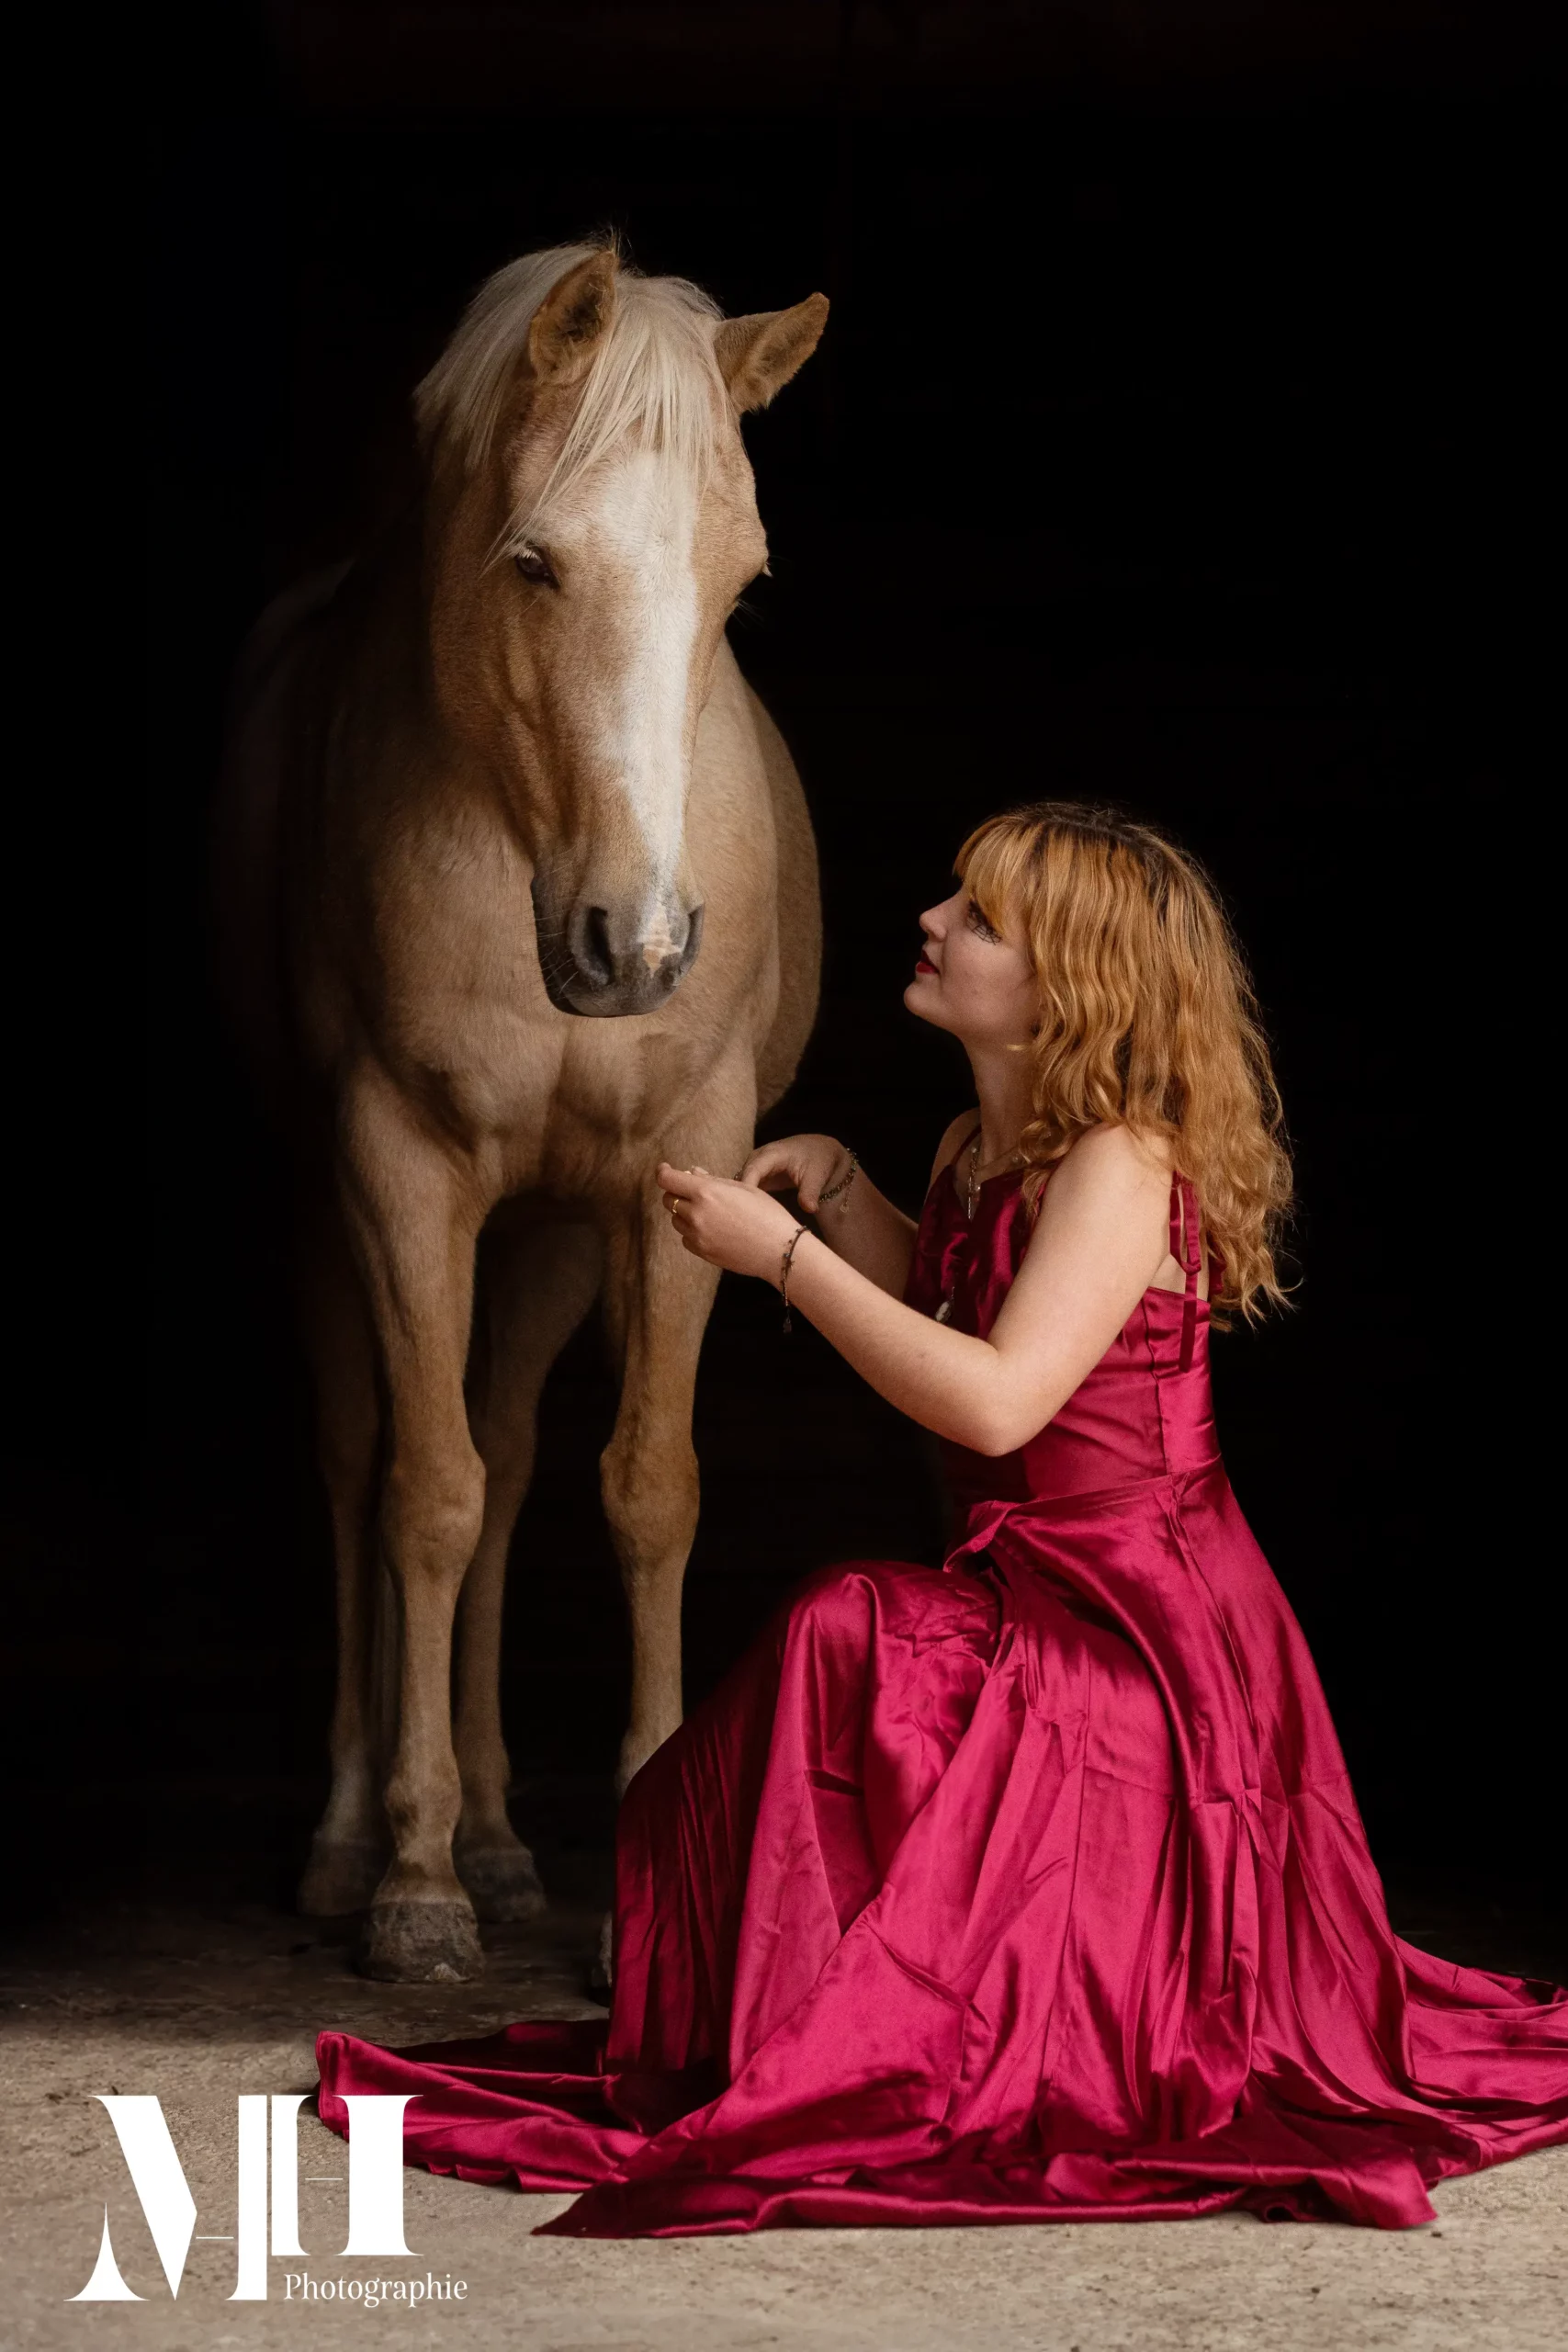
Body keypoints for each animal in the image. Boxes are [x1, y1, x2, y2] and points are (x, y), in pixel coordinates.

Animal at [216, 242, 827, 1982]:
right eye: (535, 565)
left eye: (738, 588)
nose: (638, 948)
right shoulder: (395, 1170)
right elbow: (421, 1499)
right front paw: (410, 1884)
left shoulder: (682, 1167)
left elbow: (640, 1493)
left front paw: (625, 1887)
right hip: (333, 1219)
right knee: (370, 1464)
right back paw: (363, 1837)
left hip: (551, 1234)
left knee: (502, 1449)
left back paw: (495, 1837)